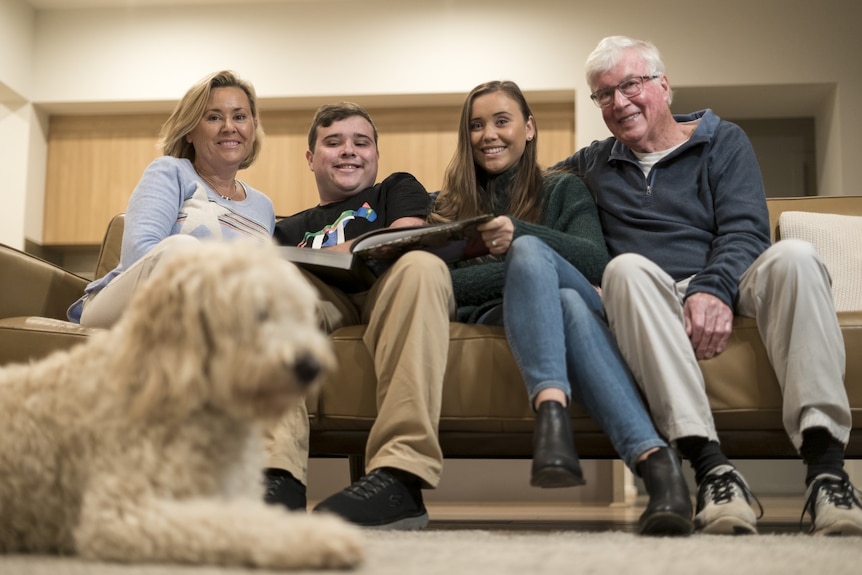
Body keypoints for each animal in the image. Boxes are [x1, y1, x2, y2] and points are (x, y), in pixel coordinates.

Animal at [0, 240, 362, 572]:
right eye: (259, 312)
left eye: (302, 313)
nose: (311, 366)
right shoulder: (122, 514)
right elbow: (229, 523)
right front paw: (315, 536)